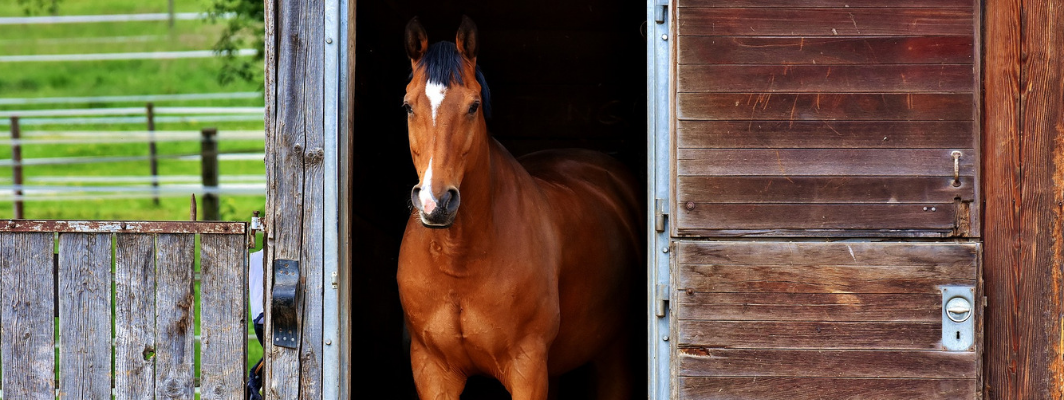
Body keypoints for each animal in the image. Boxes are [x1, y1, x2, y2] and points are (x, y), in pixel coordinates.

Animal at [393, 16, 634, 400]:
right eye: (408, 106)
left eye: (473, 105)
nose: (436, 202)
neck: (459, 260)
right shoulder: (432, 369)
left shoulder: (528, 368)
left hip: (614, 357)